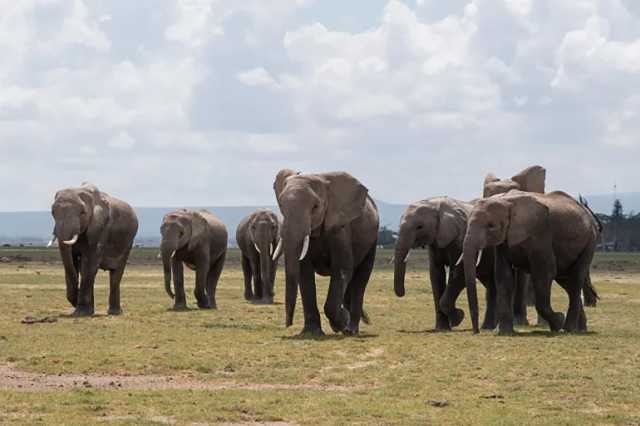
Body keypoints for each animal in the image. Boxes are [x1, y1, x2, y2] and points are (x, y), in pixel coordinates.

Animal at [50, 183, 139, 316]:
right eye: (53, 212)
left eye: (82, 212)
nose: (75, 299)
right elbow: (73, 261)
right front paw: (85, 310)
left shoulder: (101, 227)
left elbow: (90, 263)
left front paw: (81, 313)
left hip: (128, 242)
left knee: (116, 274)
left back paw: (115, 312)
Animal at [272, 170, 378, 336]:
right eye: (281, 206)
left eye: (316, 206)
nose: (288, 324)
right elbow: (304, 272)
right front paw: (311, 332)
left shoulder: (340, 229)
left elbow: (341, 269)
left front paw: (341, 323)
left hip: (372, 239)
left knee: (360, 279)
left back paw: (351, 329)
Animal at [392, 198, 498, 332]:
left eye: (419, 227)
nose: (403, 293)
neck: (435, 205)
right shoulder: (434, 243)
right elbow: (436, 275)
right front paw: (442, 328)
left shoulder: (459, 239)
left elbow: (458, 273)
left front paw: (458, 318)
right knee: (490, 285)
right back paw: (488, 327)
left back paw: (488, 327)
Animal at [462, 191, 604, 334]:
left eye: (491, 226)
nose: (476, 332)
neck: (507, 202)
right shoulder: (503, 242)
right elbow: (503, 276)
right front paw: (503, 332)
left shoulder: (540, 234)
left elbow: (545, 273)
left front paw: (558, 321)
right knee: (567, 282)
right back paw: (580, 329)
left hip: (590, 242)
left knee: (576, 279)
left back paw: (568, 329)